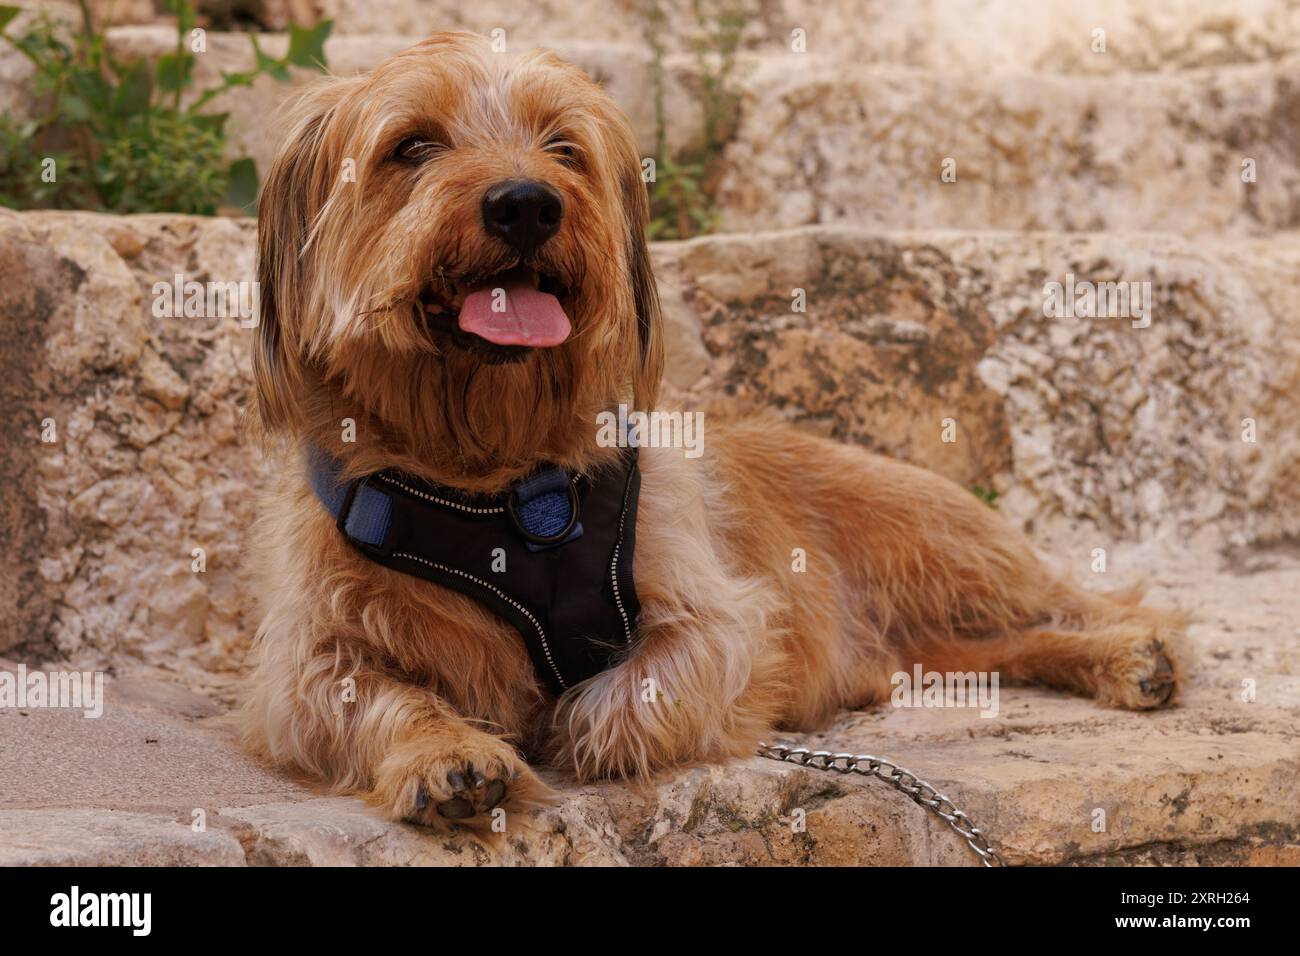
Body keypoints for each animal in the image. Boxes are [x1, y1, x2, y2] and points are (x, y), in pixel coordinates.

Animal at [244, 29, 1190, 822]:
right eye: (412, 146)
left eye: (563, 147)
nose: (528, 204)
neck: (496, 480)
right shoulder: (308, 662)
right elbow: (370, 695)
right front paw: (447, 753)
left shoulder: (712, 609)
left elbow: (652, 683)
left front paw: (573, 723)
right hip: (934, 640)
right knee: (1006, 644)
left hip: (951, 548)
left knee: (1082, 600)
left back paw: (1130, 651)